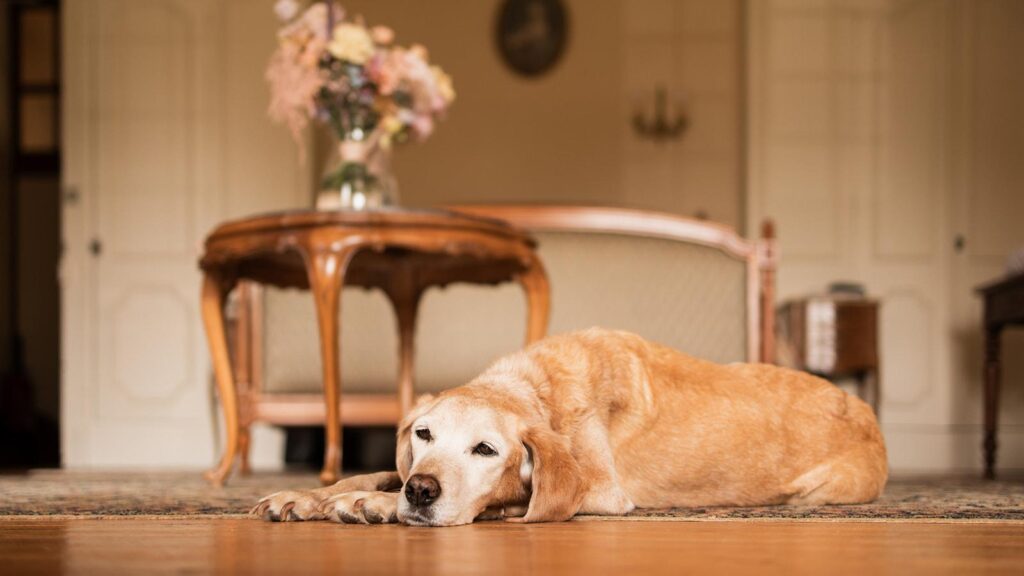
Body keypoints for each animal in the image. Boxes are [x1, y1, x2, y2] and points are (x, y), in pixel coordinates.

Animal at [251, 327, 884, 524]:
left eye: (486, 450)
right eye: (423, 434)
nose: (422, 490)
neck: (538, 388)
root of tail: (866, 411)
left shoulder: (602, 491)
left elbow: (516, 499)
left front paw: (375, 506)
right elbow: (371, 472)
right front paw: (307, 496)